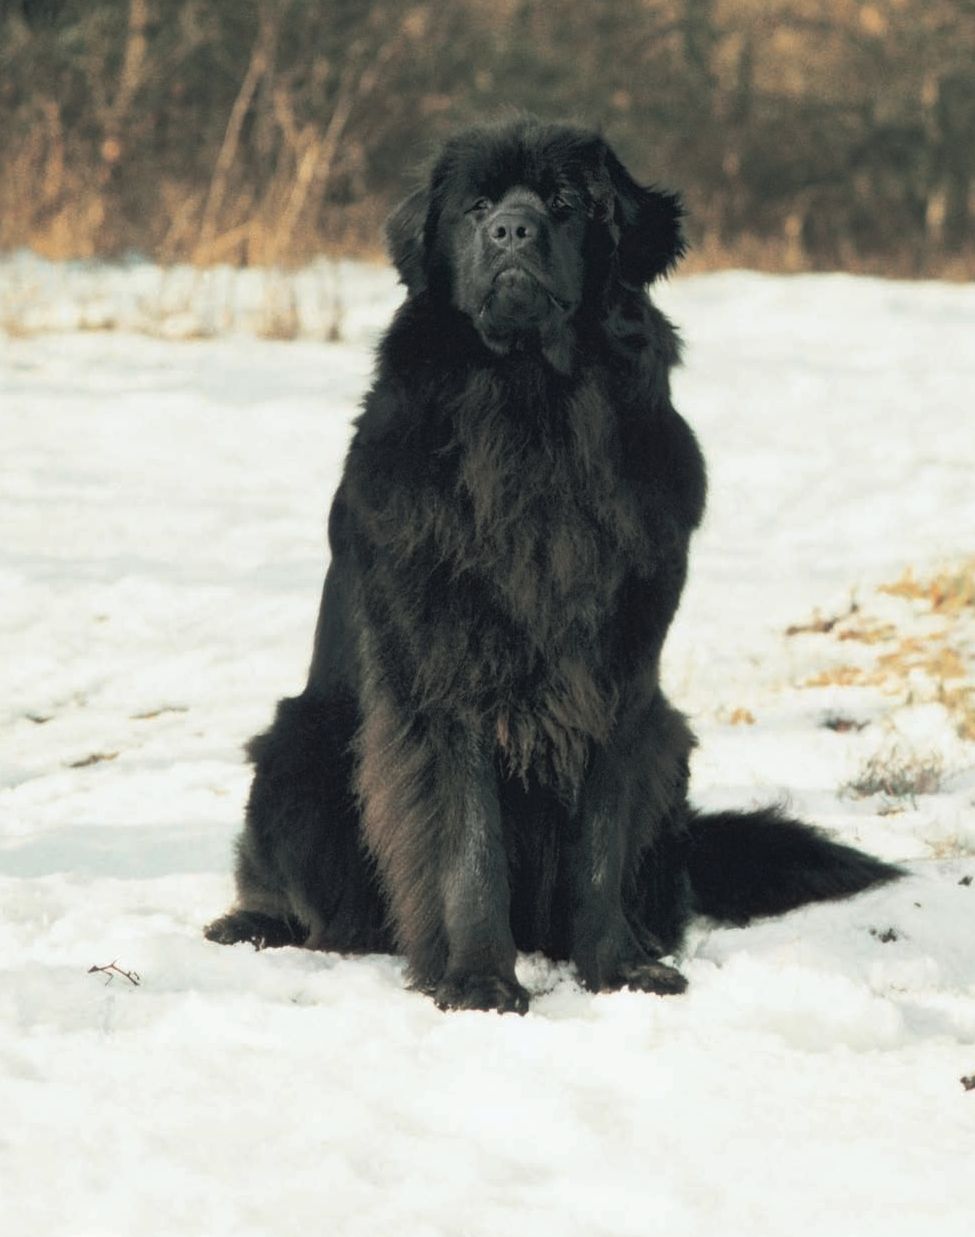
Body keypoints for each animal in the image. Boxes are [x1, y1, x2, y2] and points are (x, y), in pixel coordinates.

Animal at [205, 118, 900, 1014]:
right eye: (474, 208)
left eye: (566, 203)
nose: (511, 231)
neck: (531, 404)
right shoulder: (447, 673)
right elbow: (466, 841)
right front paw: (476, 978)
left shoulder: (616, 680)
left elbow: (597, 849)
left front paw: (618, 966)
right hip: (296, 750)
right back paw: (252, 924)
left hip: (669, 742)